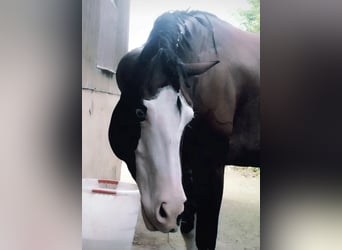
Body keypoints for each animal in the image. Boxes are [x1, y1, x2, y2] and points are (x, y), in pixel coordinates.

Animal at [109, 10, 260, 250]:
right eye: (139, 112)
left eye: (189, 118)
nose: (169, 210)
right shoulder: (187, 170)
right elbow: (190, 230)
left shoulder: (211, 168)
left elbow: (205, 238)